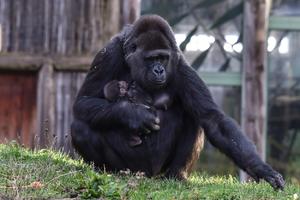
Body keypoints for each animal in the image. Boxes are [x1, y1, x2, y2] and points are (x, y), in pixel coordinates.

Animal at [71, 14, 284, 190]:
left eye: (163, 58)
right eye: (152, 59)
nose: (159, 70)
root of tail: (147, 176)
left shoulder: (180, 64)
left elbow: (213, 119)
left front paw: (261, 168)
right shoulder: (108, 53)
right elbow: (83, 102)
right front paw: (133, 114)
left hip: (159, 169)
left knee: (193, 119)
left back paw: (177, 174)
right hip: (134, 169)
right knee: (80, 127)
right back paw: (111, 171)